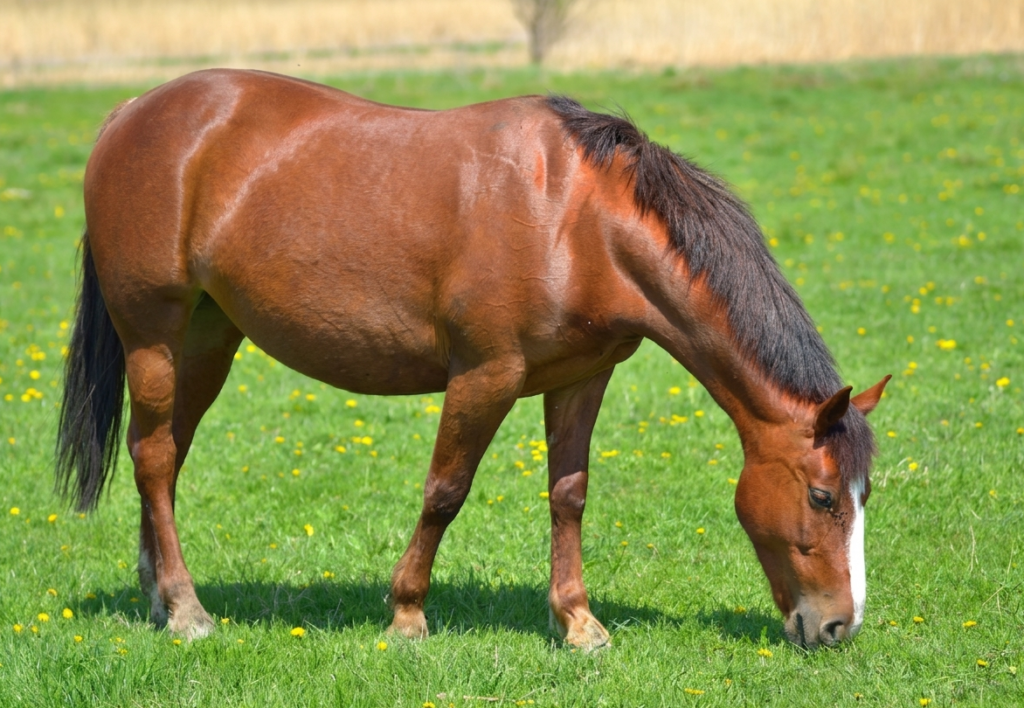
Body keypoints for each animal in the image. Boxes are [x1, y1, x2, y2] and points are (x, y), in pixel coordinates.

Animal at [57, 69, 890, 650]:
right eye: (822, 497)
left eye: (864, 495)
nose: (838, 626)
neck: (577, 219)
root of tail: (131, 112)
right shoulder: (486, 377)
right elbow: (444, 492)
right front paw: (406, 617)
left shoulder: (583, 378)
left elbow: (569, 495)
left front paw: (578, 623)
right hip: (153, 335)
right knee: (155, 458)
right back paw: (187, 610)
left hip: (207, 339)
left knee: (162, 454)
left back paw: (159, 594)